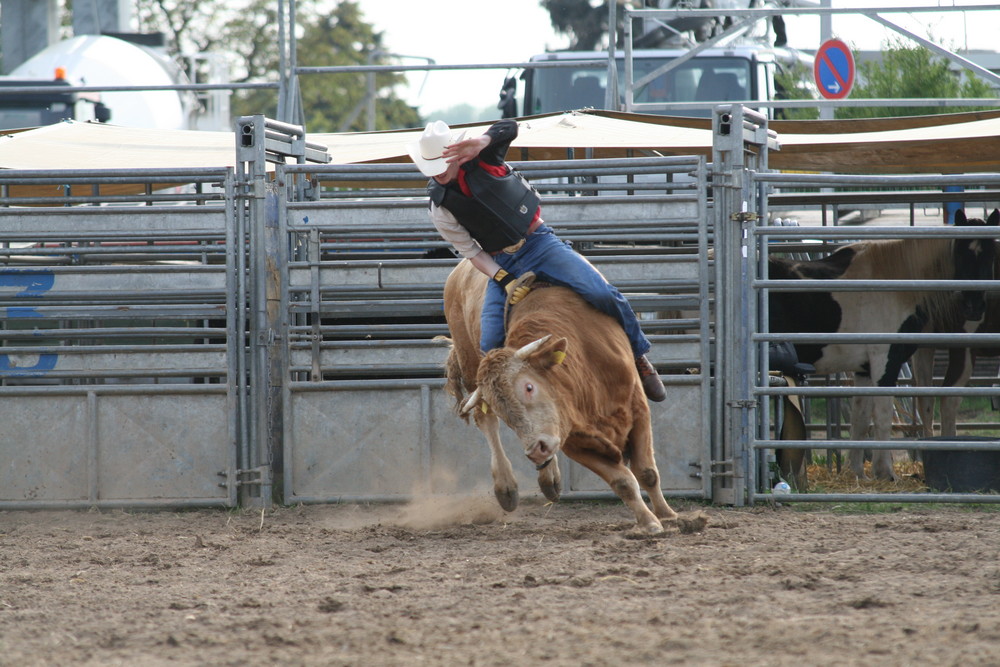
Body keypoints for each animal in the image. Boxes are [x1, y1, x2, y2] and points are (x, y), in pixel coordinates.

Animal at [442, 258, 676, 536]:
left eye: (529, 387)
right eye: (501, 408)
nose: (536, 450)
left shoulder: (637, 408)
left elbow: (646, 471)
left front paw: (667, 515)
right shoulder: (573, 440)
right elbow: (622, 481)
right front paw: (649, 521)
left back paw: (548, 479)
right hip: (469, 361)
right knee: (485, 421)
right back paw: (507, 487)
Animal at [768, 211, 996, 488]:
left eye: (991, 254)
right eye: (961, 254)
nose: (974, 309)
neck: (895, 283)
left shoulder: (865, 369)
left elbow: (860, 419)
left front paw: (858, 472)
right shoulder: (885, 362)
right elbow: (884, 416)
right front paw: (886, 472)